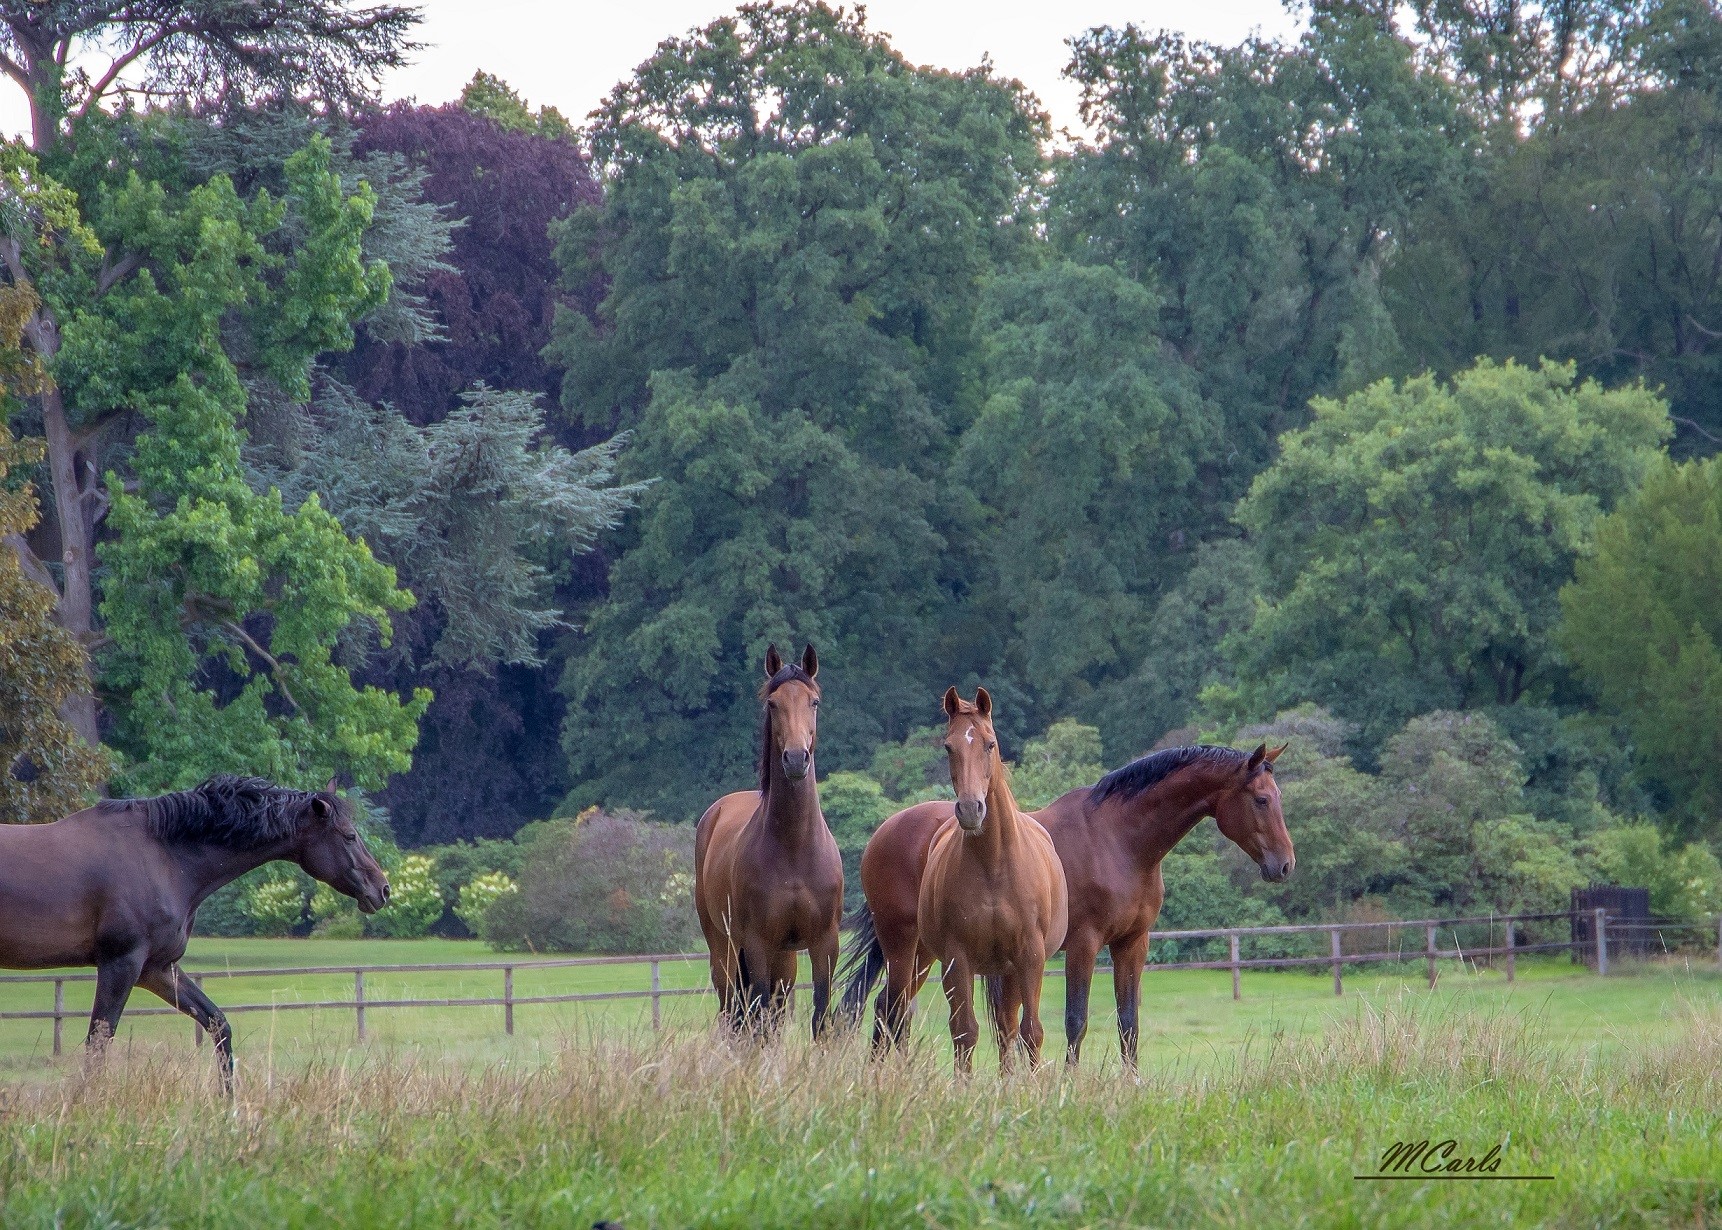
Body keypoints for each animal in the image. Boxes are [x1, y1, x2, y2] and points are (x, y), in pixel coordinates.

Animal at [0, 771, 390, 1088]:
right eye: (350, 836)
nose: (383, 889)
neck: (163, 858)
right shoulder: (120, 964)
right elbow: (98, 1044)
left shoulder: (157, 969)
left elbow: (219, 1025)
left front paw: (230, 1110)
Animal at [692, 640, 840, 1033]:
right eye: (773, 703)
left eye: (813, 701)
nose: (795, 759)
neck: (794, 847)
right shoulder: (757, 943)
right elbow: (755, 1018)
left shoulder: (824, 942)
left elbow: (820, 1017)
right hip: (725, 948)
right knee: (734, 1011)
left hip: (783, 959)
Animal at [847, 737, 1294, 1061]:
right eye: (1261, 799)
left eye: (1277, 797)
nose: (1285, 864)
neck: (1118, 841)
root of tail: (885, 831)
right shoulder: (1084, 944)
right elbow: (1076, 1021)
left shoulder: (1132, 944)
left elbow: (1128, 1023)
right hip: (907, 947)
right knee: (890, 1009)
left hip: (927, 953)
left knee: (889, 1009)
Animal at [916, 685, 1060, 1068]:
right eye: (948, 746)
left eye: (990, 744)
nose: (970, 809)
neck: (994, 864)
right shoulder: (957, 959)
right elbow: (965, 1031)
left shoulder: (1030, 957)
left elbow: (1032, 1032)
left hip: (1009, 970)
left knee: (1009, 1028)